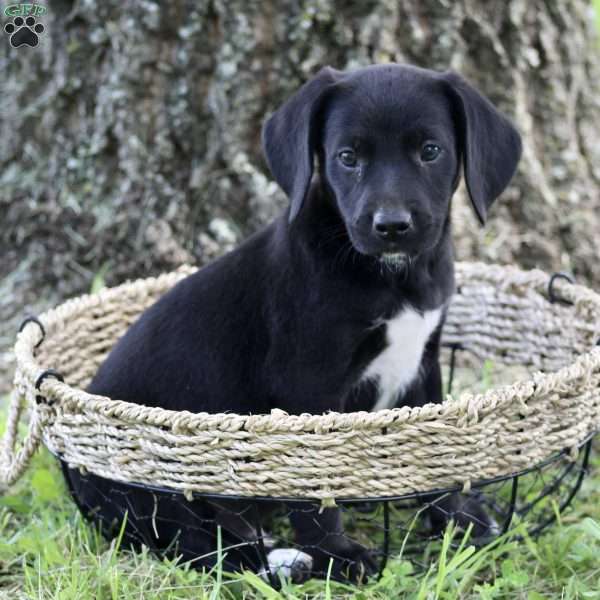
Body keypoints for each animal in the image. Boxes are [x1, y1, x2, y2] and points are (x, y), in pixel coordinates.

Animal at [61, 62, 520, 580]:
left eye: (430, 151)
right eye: (347, 157)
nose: (392, 226)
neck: (392, 276)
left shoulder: (424, 366)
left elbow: (437, 454)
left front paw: (456, 521)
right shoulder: (307, 387)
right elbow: (316, 490)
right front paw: (338, 555)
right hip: (152, 482)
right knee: (198, 542)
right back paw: (287, 559)